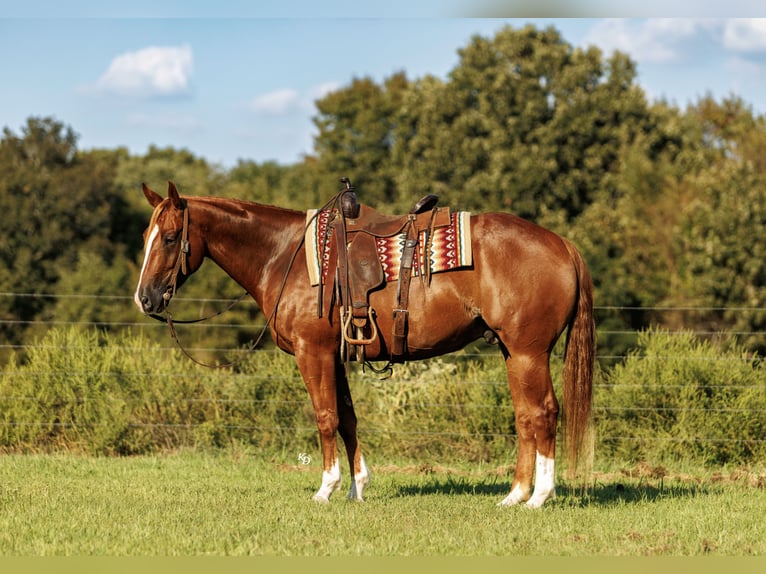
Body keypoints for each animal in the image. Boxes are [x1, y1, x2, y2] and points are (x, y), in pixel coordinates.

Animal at [134, 181, 595, 508]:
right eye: (145, 237)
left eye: (171, 237)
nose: (145, 299)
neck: (283, 256)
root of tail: (562, 244)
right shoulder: (335, 356)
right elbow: (348, 419)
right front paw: (357, 488)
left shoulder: (313, 352)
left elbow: (325, 418)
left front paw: (326, 489)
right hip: (512, 352)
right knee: (525, 417)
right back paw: (515, 494)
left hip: (529, 352)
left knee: (543, 413)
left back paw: (539, 497)